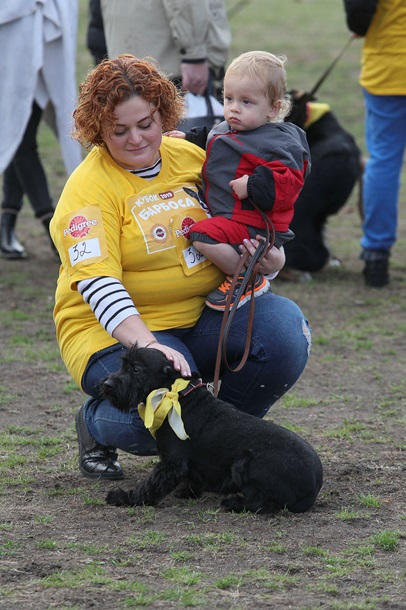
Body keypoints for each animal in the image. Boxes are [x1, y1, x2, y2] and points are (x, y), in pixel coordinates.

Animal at [102, 344, 324, 510]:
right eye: (123, 364)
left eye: (136, 369)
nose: (107, 385)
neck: (175, 395)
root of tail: (313, 486)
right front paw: (186, 492)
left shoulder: (172, 462)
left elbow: (151, 484)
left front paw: (125, 497)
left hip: (244, 464)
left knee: (264, 503)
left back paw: (233, 503)